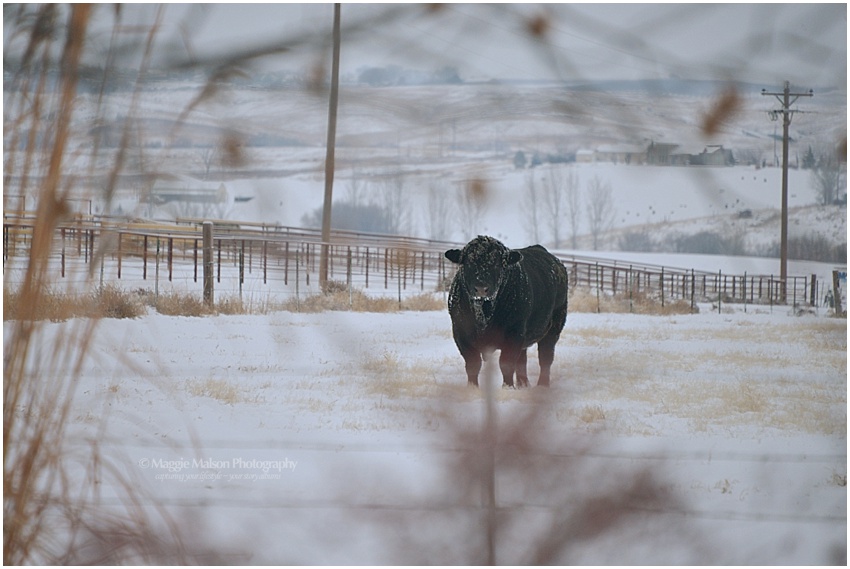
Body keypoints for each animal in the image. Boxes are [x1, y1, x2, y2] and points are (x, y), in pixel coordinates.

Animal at [444, 235, 568, 388]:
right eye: (467, 262)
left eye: (498, 264)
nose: (481, 288)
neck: (484, 314)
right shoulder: (461, 333)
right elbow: (473, 365)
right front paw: (472, 388)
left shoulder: (514, 333)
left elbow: (506, 364)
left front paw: (507, 388)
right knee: (522, 359)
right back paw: (523, 384)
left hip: (554, 327)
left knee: (545, 357)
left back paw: (542, 385)